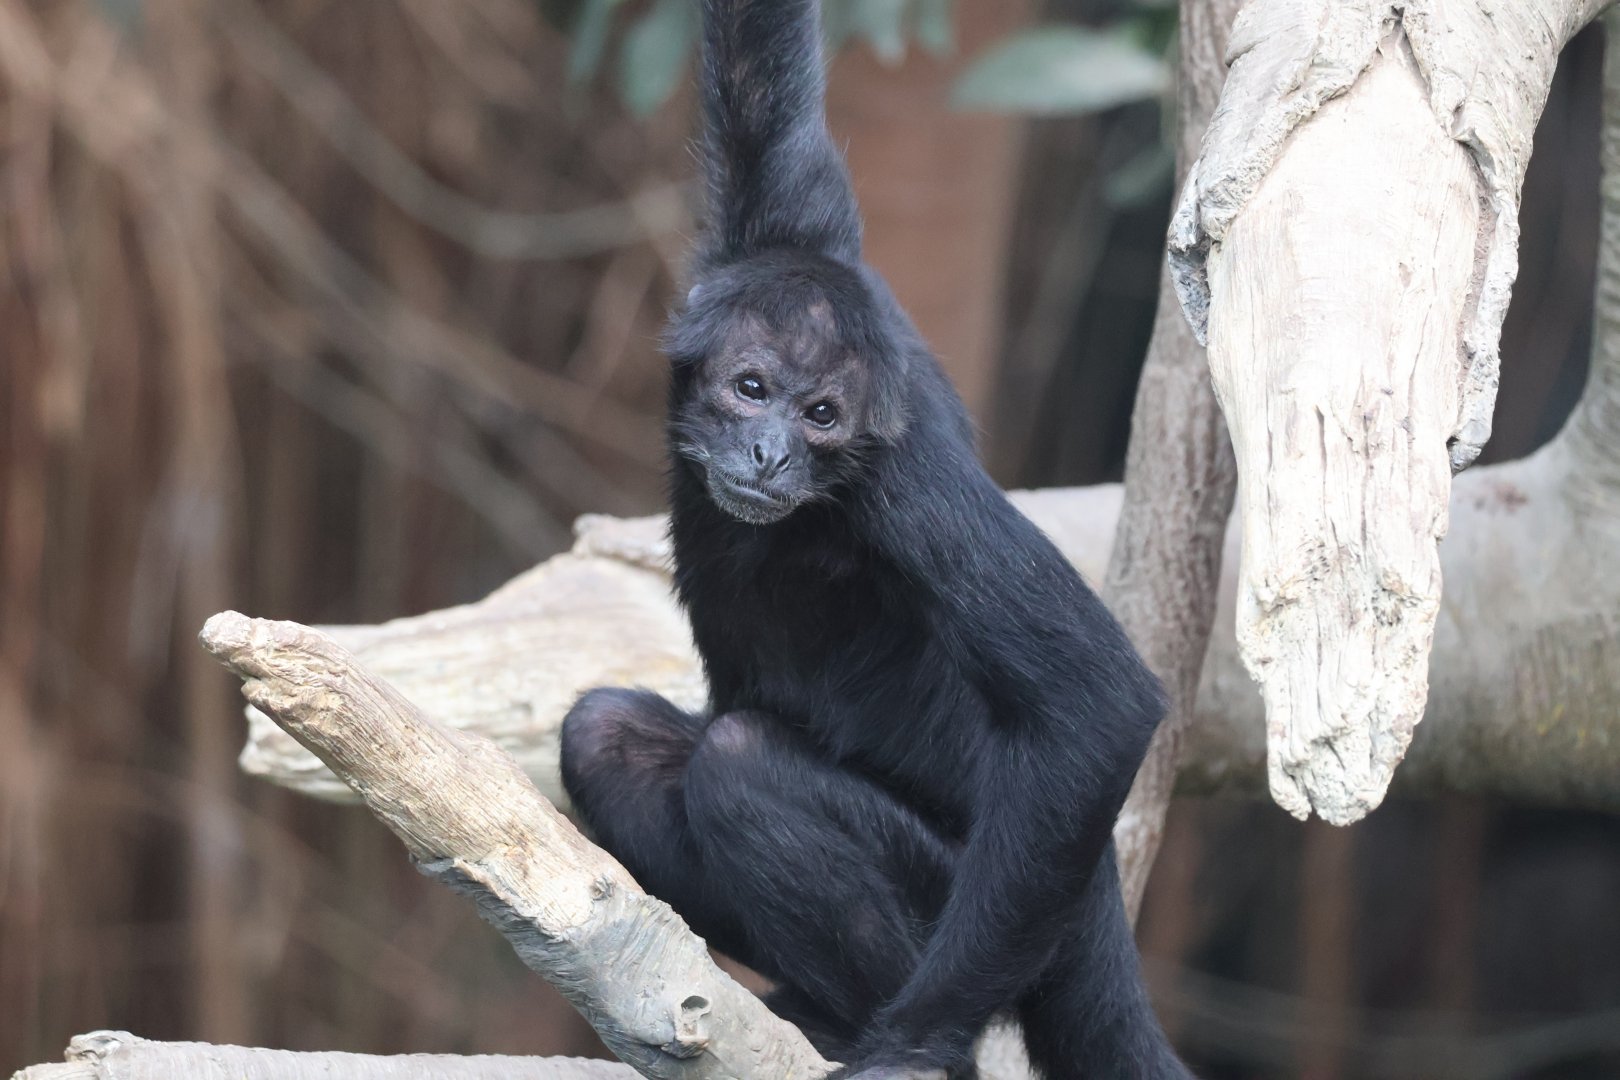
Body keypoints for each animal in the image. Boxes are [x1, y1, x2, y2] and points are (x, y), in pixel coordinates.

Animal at [559, 2, 1193, 1077]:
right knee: (606, 737)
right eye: (752, 388)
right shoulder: (779, 232)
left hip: (961, 894)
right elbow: (764, 79)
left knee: (740, 761)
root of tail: (1094, 906)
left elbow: (1102, 702)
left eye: (821, 415)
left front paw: (909, 1046)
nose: (770, 451)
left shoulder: (908, 485)